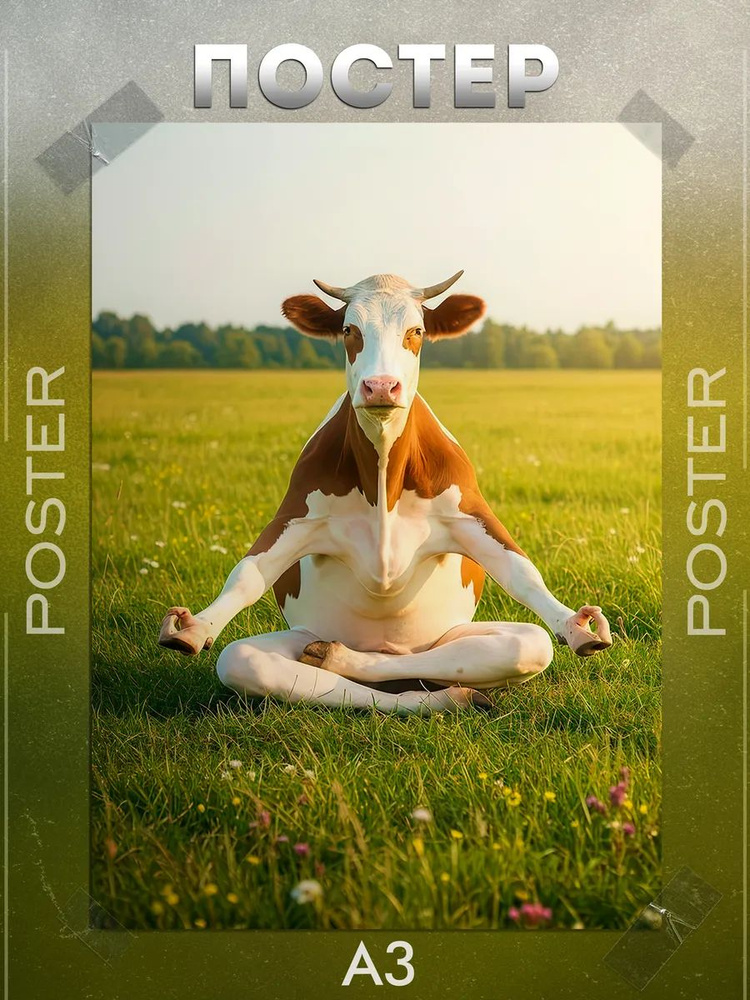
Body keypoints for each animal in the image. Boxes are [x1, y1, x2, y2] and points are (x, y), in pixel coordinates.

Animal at [158, 271, 612, 714]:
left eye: (417, 331)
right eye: (348, 330)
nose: (380, 387)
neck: (383, 477)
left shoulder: (467, 513)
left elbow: (522, 573)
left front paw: (574, 624)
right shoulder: (298, 514)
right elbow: (247, 575)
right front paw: (196, 626)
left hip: (447, 637)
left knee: (518, 644)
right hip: (304, 635)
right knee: (251, 661)